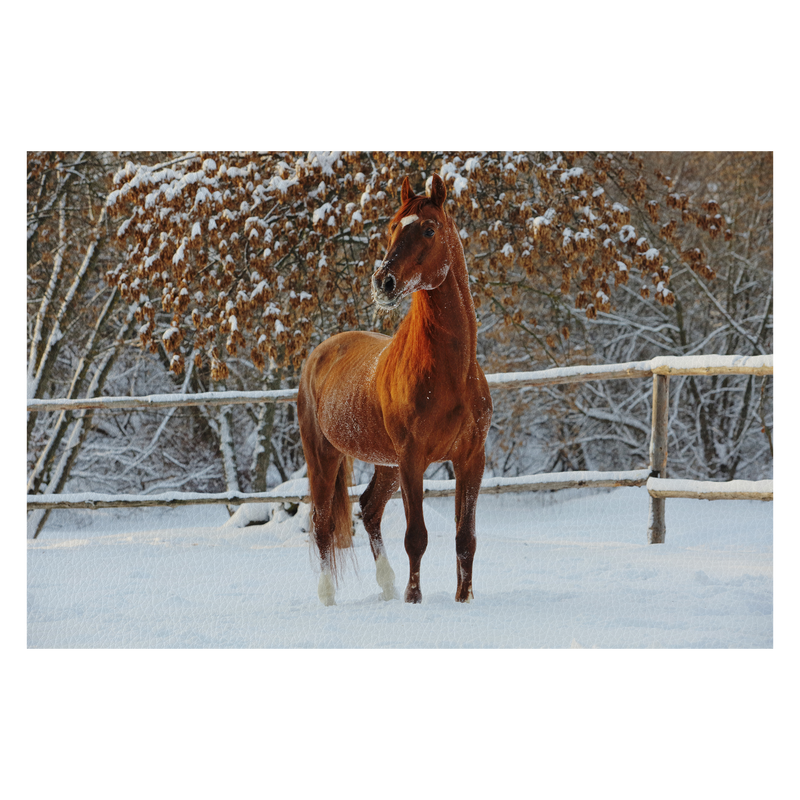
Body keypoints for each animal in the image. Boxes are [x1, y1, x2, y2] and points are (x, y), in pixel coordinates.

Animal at [296, 173, 490, 608]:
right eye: (391, 227)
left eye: (429, 229)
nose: (383, 283)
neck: (451, 374)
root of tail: (319, 353)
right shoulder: (412, 458)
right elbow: (416, 537)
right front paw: (413, 598)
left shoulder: (470, 458)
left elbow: (465, 537)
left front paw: (464, 599)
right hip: (324, 456)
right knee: (321, 523)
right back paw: (328, 596)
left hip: (385, 464)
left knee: (369, 510)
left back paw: (385, 586)